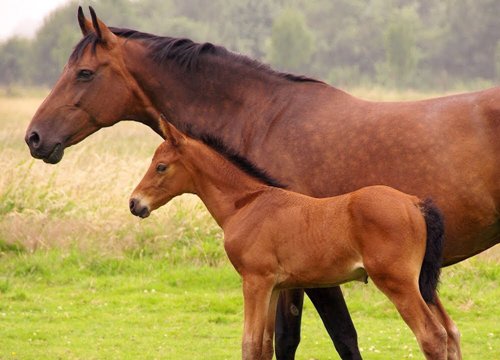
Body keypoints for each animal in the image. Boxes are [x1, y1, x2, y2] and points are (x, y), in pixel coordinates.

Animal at [130, 116, 460, 358]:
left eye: (161, 166)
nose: (135, 203)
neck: (247, 204)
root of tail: (415, 203)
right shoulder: (274, 286)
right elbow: (265, 346)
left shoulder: (255, 281)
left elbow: (250, 344)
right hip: (421, 283)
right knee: (451, 332)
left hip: (397, 281)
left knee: (432, 336)